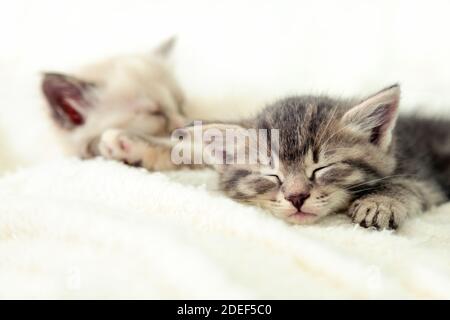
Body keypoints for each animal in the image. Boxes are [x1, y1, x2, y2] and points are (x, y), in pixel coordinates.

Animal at [187, 85, 450, 230]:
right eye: (272, 174)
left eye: (321, 168)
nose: (296, 197)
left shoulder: (425, 175)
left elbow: (408, 184)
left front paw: (380, 202)